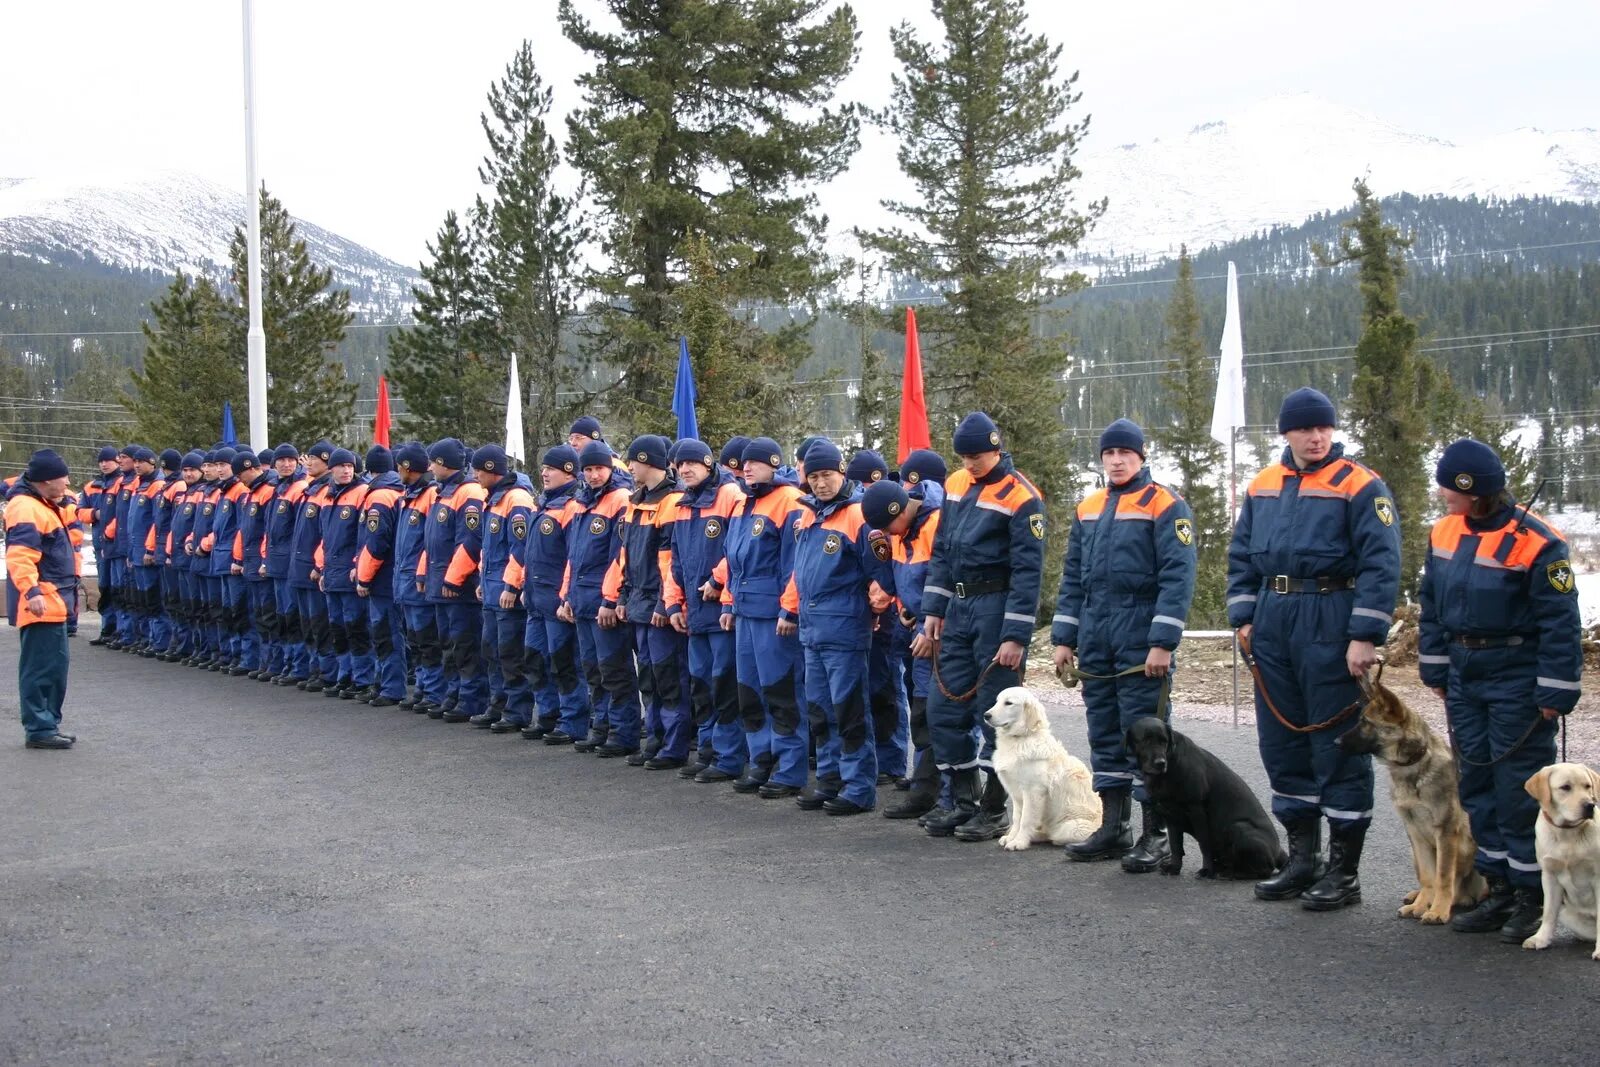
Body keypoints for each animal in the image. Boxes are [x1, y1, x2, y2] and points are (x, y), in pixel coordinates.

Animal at [1331, 671, 1478, 921]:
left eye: (1365, 723)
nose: (1335, 742)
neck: (1414, 766)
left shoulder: (1445, 831)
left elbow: (1443, 876)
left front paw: (1438, 910)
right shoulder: (1414, 831)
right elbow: (1429, 876)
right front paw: (1421, 905)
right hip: (1414, 851)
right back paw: (1418, 896)